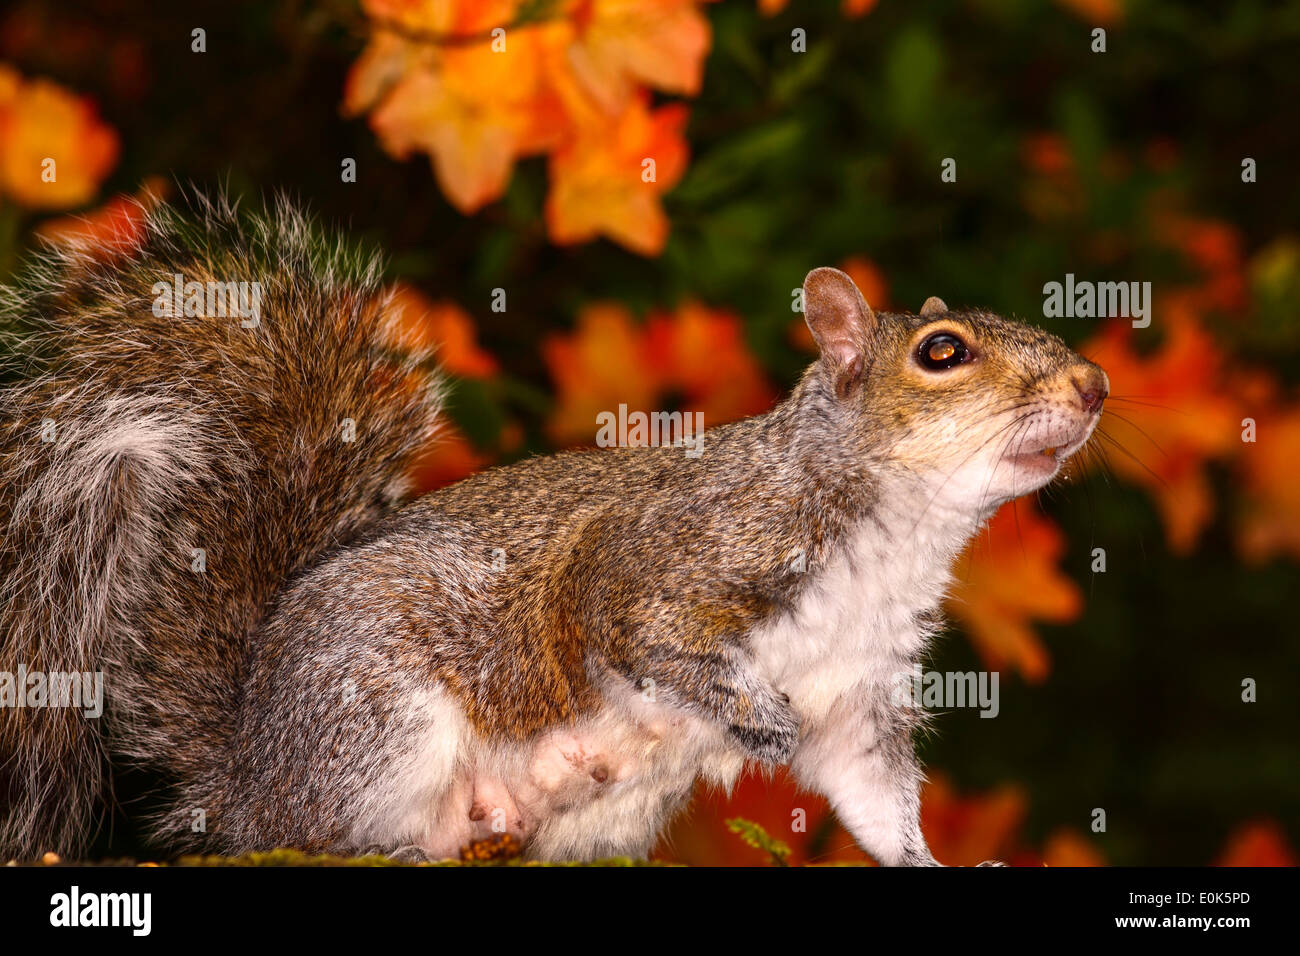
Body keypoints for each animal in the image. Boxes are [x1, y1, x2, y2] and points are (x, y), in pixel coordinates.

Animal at [0, 193, 1108, 864]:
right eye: (941, 351)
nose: (1093, 384)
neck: (894, 537)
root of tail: (243, 777)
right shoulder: (668, 559)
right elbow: (642, 632)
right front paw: (755, 717)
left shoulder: (860, 688)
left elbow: (870, 787)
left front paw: (924, 854)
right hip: (370, 711)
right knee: (329, 826)